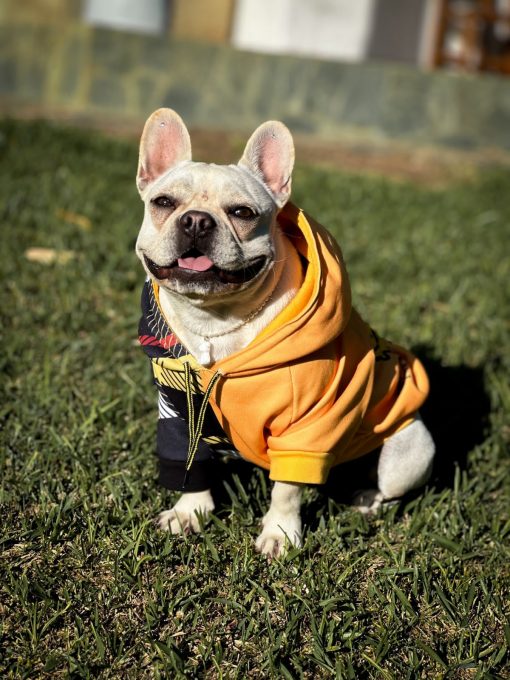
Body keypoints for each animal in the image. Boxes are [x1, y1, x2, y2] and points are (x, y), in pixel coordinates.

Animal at [134, 109, 434, 556]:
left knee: (387, 489)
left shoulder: (308, 423)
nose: (196, 220)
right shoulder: (179, 407)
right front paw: (191, 512)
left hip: (408, 450)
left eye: (242, 213)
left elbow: (288, 488)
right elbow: (191, 462)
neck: (216, 324)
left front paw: (280, 533)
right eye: (164, 203)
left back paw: (366, 500)